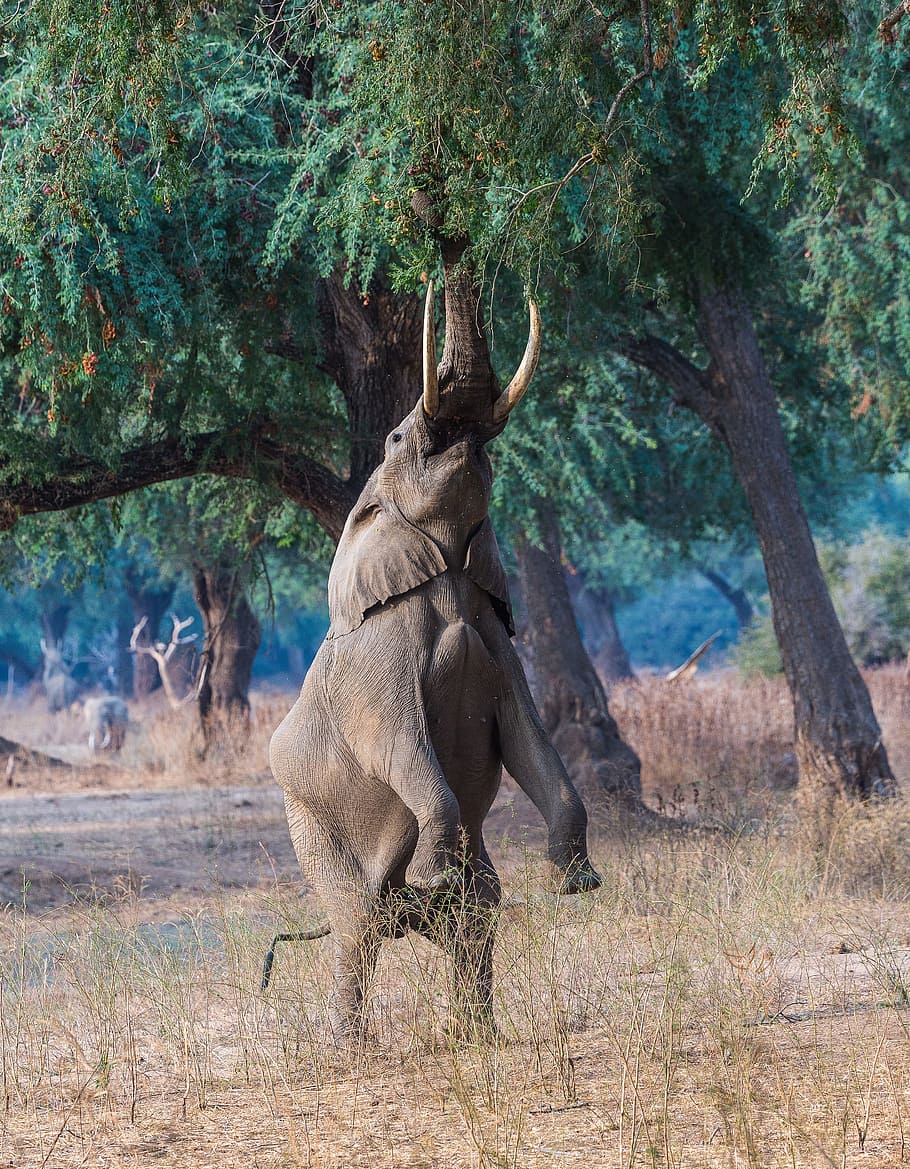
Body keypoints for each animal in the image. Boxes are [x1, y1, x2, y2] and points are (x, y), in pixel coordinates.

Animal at [270, 283, 601, 1040]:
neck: (443, 566)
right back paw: (353, 1042)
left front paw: (576, 883)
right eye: (397, 440)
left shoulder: (498, 633)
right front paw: (436, 872)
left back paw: (475, 1032)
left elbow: (530, 737)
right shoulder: (380, 653)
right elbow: (396, 741)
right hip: (314, 830)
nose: (465, 427)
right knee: (359, 926)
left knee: (474, 917)